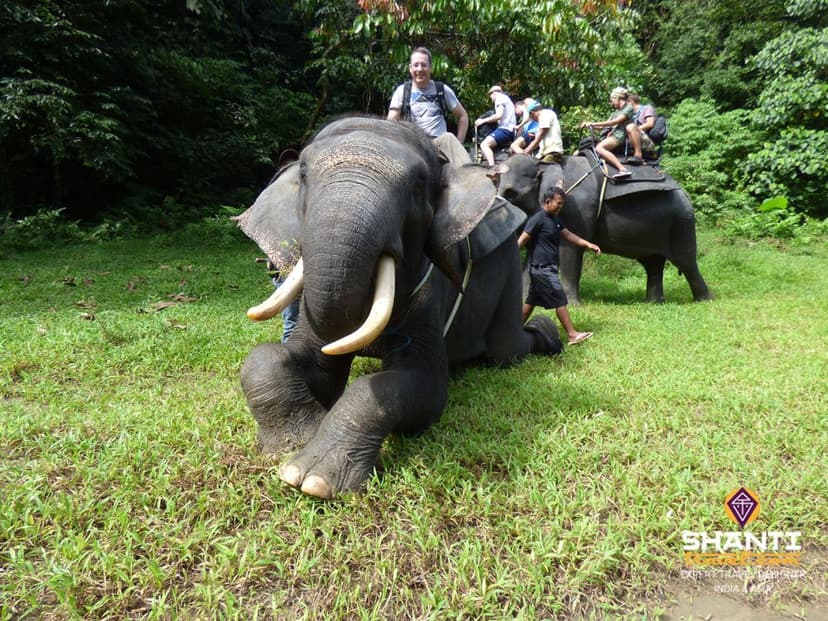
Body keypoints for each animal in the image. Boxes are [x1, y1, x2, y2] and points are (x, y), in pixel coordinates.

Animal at [236, 117, 562, 500]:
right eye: (302, 172)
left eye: (419, 185)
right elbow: (286, 361)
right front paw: (296, 439)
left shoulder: (430, 289)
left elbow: (423, 388)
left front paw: (312, 478)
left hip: (507, 260)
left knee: (507, 350)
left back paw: (548, 335)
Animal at [494, 153, 713, 304]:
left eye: (512, 194)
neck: (543, 163)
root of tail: (684, 191)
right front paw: (525, 300)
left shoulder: (576, 210)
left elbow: (571, 250)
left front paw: (573, 305)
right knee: (653, 264)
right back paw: (654, 303)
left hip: (681, 224)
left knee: (686, 263)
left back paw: (704, 300)